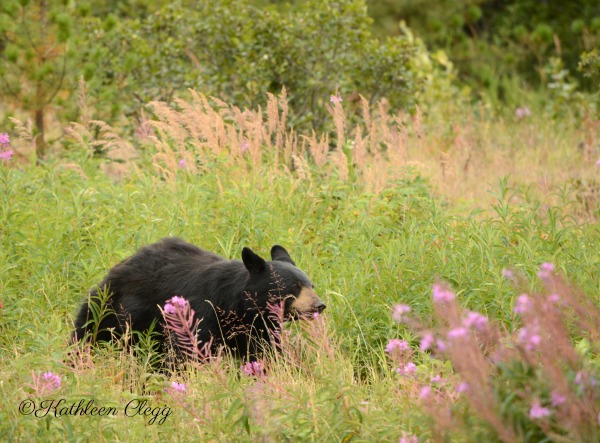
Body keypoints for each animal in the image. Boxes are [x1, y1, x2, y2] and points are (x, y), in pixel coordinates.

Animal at [75, 238, 328, 360]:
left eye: (311, 285)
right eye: (294, 287)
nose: (320, 305)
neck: (238, 308)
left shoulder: (257, 328)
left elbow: (265, 351)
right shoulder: (203, 312)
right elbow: (189, 349)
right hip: (116, 309)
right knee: (89, 331)